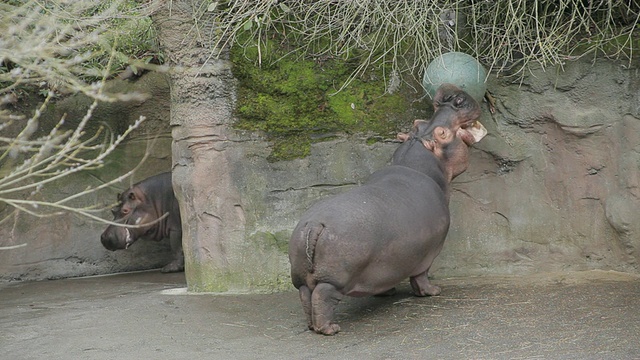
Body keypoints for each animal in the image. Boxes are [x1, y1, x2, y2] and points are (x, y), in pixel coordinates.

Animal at [288, 83, 484, 334]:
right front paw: (433, 292)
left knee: (306, 296)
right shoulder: (429, 252)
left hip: (302, 277)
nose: (452, 98)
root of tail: (313, 225)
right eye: (442, 133)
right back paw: (330, 328)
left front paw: (387, 292)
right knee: (323, 296)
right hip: (334, 278)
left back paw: (312, 326)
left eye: (418, 123)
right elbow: (421, 276)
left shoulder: (383, 267)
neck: (418, 159)